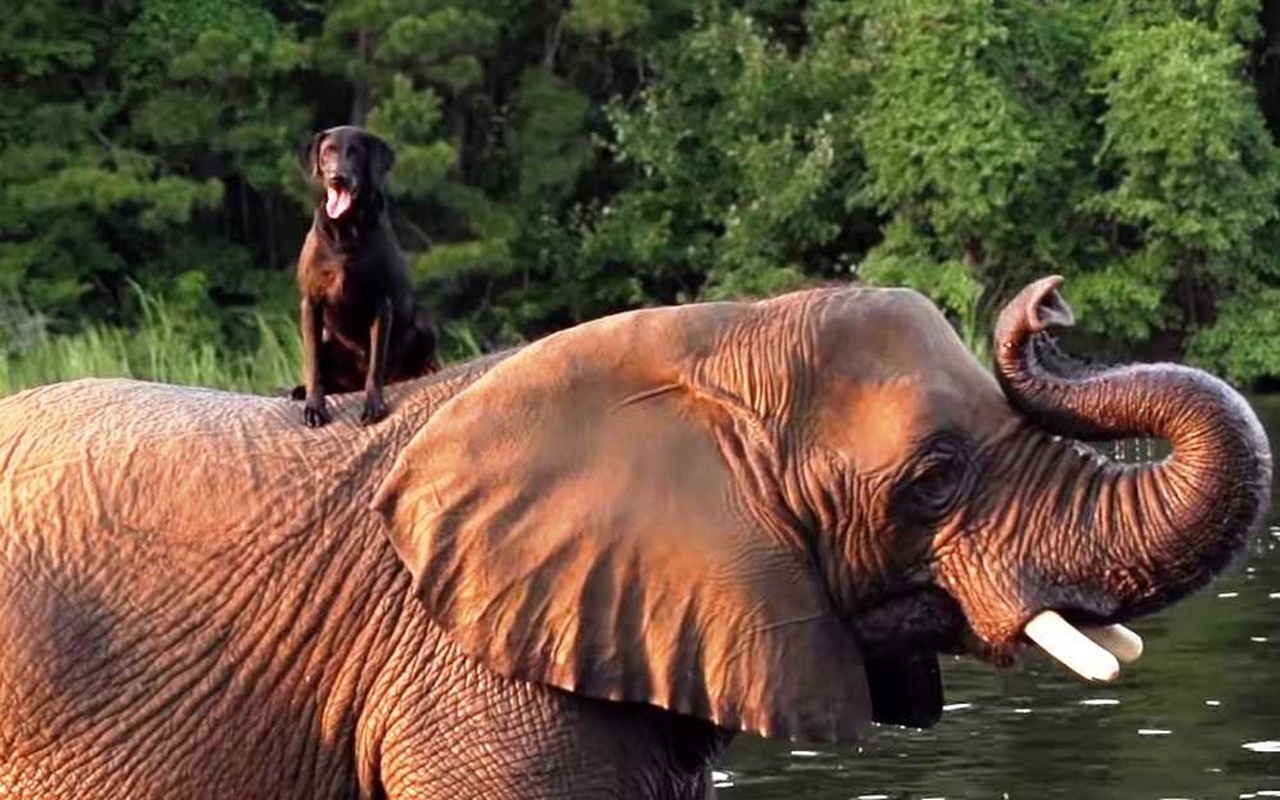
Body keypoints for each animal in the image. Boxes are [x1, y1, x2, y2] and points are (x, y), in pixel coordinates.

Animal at [294, 126, 440, 424]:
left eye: (354, 153)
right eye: (327, 152)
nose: (337, 177)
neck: (346, 230)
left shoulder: (381, 303)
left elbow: (376, 363)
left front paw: (374, 405)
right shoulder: (311, 301)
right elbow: (313, 363)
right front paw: (314, 407)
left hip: (423, 322)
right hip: (329, 341)